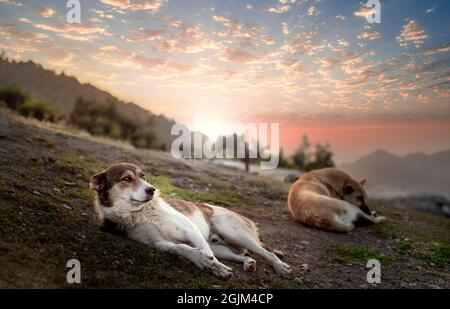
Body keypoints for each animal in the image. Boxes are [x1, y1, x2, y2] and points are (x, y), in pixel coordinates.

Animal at [89, 162, 292, 278]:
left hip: (233, 232)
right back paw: (248, 263)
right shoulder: (159, 243)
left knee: (265, 252)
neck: (142, 213)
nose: (151, 189)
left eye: (143, 176)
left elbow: (204, 251)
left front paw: (217, 268)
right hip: (220, 246)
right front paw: (201, 260)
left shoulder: (190, 230)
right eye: (127, 178)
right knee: (240, 255)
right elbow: (181, 247)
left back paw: (280, 267)